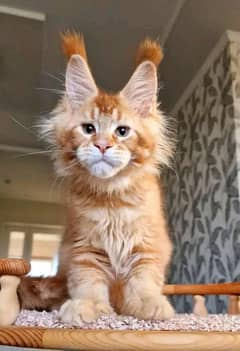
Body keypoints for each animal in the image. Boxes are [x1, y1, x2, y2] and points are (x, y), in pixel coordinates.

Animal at [18, 33, 174, 324]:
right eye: (88, 129)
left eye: (122, 131)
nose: (102, 145)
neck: (112, 198)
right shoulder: (83, 248)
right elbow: (88, 283)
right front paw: (88, 307)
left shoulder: (147, 245)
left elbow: (143, 279)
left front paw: (148, 304)